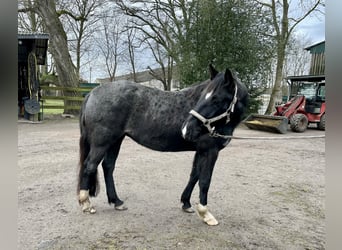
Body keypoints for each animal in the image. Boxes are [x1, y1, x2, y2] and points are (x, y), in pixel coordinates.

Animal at [77, 64, 248, 225]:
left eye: (216, 99)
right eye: (204, 97)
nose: (186, 129)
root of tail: (92, 93)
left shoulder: (201, 150)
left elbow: (194, 175)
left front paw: (186, 203)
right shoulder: (211, 151)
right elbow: (205, 180)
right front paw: (206, 214)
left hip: (115, 141)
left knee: (108, 167)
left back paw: (117, 201)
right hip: (102, 143)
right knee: (90, 166)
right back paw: (86, 203)